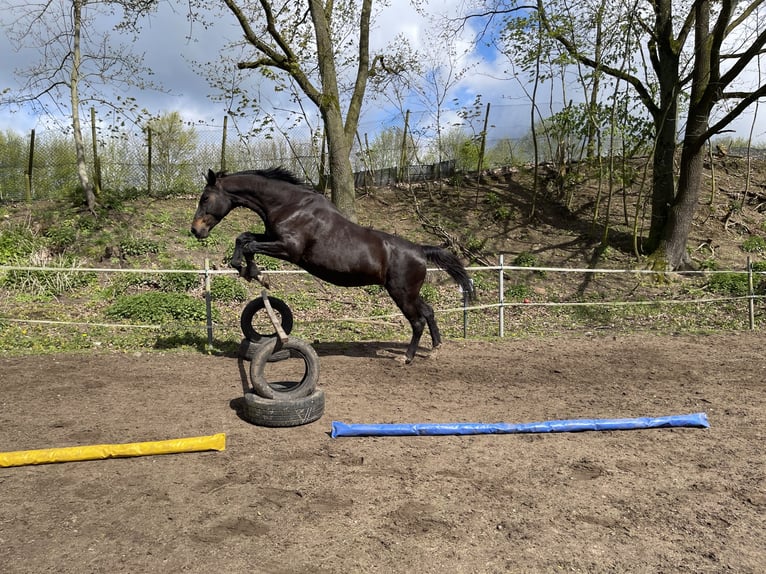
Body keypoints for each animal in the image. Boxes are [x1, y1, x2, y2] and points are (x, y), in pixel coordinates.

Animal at [192, 168, 474, 364]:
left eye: (205, 198)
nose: (196, 230)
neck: (290, 205)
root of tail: (420, 250)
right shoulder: (271, 238)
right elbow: (244, 238)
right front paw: (252, 273)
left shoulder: (289, 249)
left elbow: (249, 245)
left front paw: (253, 273)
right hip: (409, 293)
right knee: (429, 312)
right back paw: (436, 349)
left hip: (401, 293)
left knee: (417, 321)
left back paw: (406, 357)